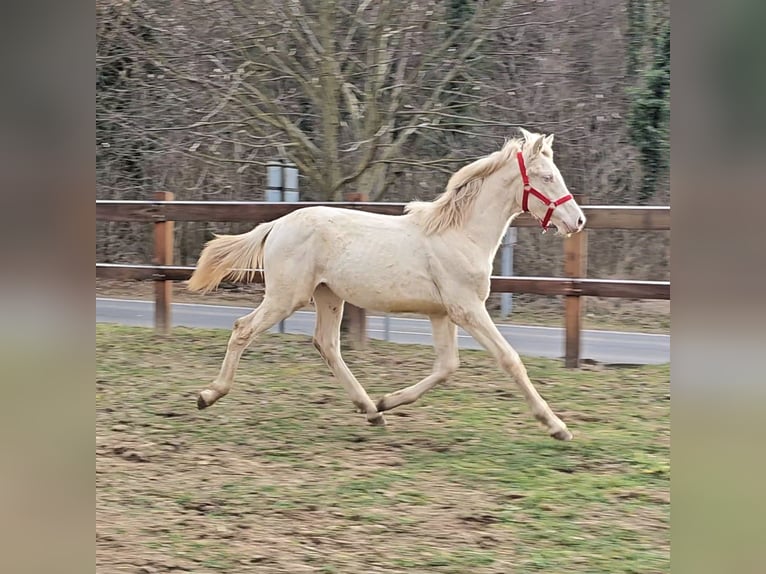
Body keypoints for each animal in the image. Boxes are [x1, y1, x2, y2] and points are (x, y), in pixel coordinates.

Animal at [188, 130, 588, 444]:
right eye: (547, 177)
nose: (578, 221)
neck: (460, 235)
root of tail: (277, 224)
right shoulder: (467, 309)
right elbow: (510, 359)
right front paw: (557, 427)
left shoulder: (442, 313)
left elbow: (447, 366)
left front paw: (386, 402)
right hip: (287, 296)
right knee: (243, 329)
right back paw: (208, 395)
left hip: (328, 295)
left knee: (327, 345)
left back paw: (371, 410)